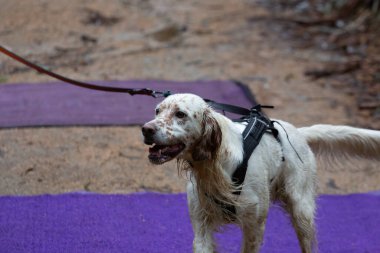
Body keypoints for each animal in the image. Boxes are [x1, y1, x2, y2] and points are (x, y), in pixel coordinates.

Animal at [142, 93, 380, 253]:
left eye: (180, 114)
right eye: (157, 111)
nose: (146, 129)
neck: (215, 165)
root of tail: (298, 132)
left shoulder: (254, 226)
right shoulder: (201, 225)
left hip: (301, 211)